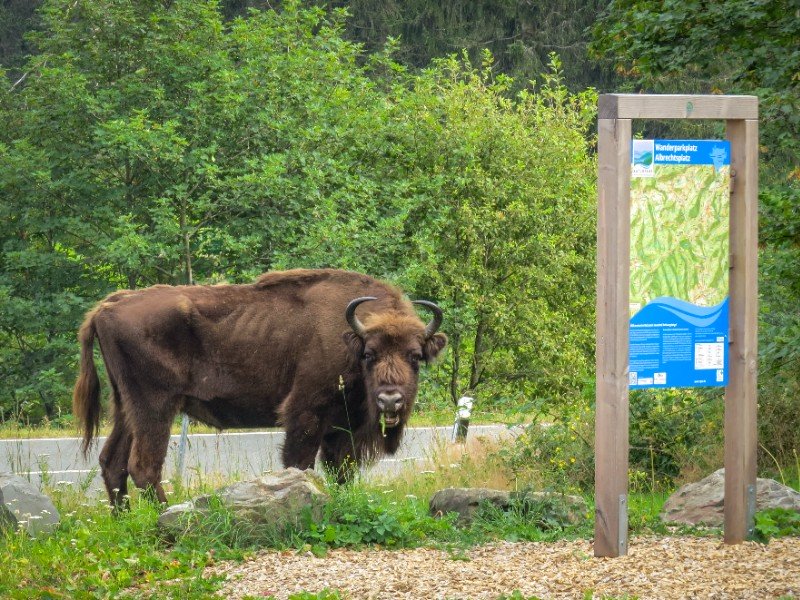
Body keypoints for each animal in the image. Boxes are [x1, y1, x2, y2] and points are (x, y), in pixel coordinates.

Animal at [73, 268, 450, 506]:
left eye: (415, 356)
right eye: (370, 354)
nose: (390, 400)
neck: (348, 338)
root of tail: (107, 306)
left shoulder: (341, 428)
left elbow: (340, 472)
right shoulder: (305, 413)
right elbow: (299, 465)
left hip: (125, 406)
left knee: (113, 462)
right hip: (155, 406)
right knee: (143, 465)